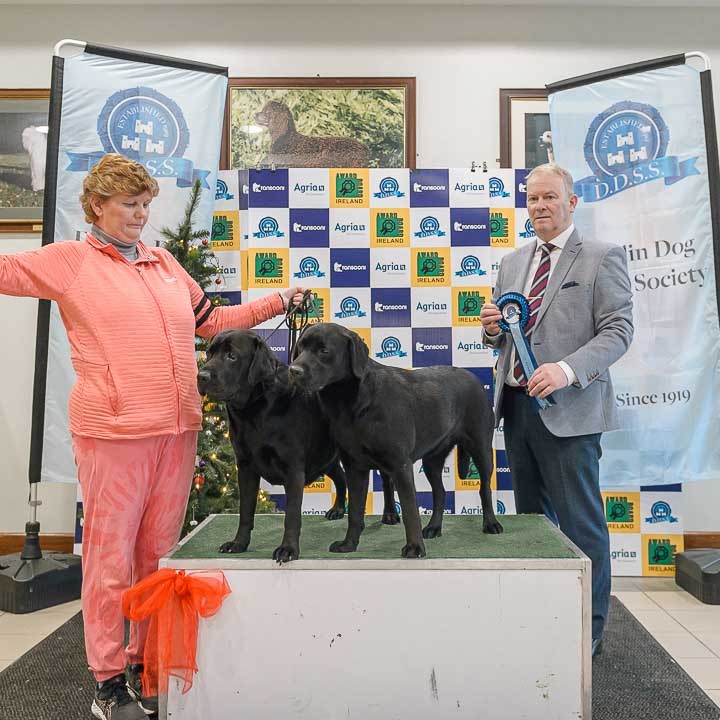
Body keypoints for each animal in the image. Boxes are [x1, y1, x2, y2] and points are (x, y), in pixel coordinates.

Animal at [197, 329, 397, 563]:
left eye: (232, 356)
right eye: (209, 353)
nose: (201, 376)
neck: (253, 411)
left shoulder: (292, 468)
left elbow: (292, 515)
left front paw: (288, 549)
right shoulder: (245, 467)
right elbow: (245, 511)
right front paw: (238, 543)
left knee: (386, 480)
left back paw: (390, 514)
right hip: (325, 455)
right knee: (341, 478)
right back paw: (338, 509)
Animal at [289, 323, 503, 558]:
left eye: (324, 351)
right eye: (300, 348)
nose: (293, 370)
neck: (350, 403)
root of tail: (473, 377)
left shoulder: (400, 464)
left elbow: (410, 511)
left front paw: (415, 548)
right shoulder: (355, 466)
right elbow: (354, 511)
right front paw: (349, 544)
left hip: (481, 448)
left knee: (484, 488)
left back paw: (491, 524)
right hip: (432, 460)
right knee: (440, 492)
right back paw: (434, 527)